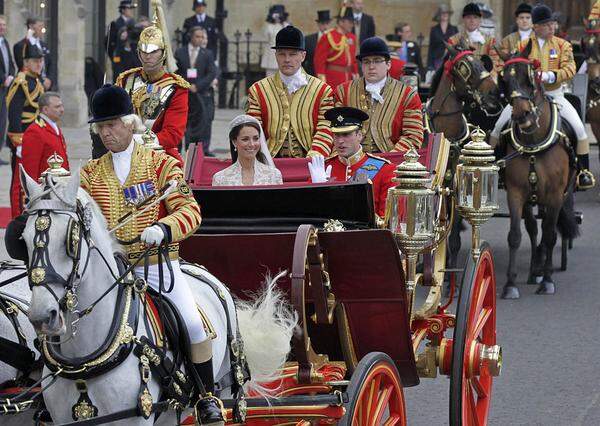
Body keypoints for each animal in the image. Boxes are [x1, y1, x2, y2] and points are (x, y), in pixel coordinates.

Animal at [20, 171, 298, 426]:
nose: (42, 316)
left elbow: (187, 207)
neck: (84, 365)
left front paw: (154, 233)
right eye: (22, 239)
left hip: (228, 386)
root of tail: (195, 269)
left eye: (71, 239)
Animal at [496, 43, 576, 300]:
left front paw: (548, 280)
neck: (533, 143)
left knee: (547, 230)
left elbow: (549, 234)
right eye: (504, 80)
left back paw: (541, 269)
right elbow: (516, 235)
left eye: (529, 76)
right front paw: (510, 284)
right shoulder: (516, 193)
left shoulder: (555, 194)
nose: (522, 115)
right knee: (532, 227)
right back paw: (534, 269)